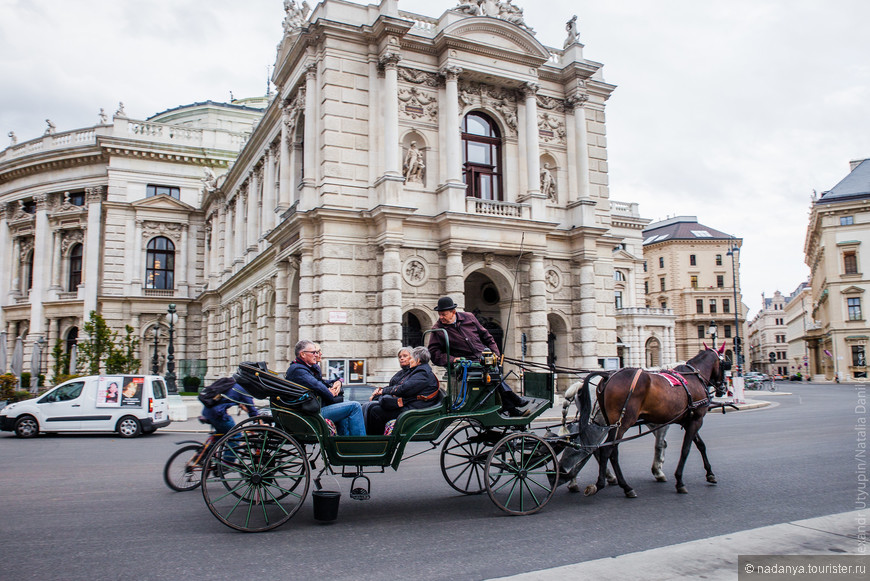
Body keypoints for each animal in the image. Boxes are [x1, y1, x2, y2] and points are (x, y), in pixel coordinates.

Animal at [584, 344, 728, 498]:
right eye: (725, 364)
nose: (723, 388)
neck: (694, 378)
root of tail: (608, 375)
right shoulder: (697, 420)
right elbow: (686, 449)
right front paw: (679, 481)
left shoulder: (688, 420)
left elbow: (701, 445)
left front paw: (710, 473)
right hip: (622, 423)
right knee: (608, 450)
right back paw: (612, 485)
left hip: (610, 423)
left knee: (608, 450)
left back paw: (618, 484)